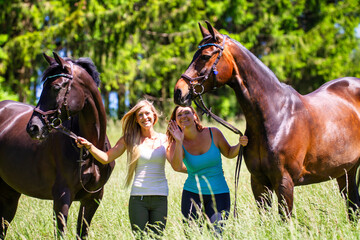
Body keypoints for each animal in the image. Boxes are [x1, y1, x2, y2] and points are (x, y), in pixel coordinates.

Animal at [0, 52, 114, 238]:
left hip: (9, 193)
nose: (33, 128)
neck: (90, 149)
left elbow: (82, 232)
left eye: (56, 87)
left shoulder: (92, 199)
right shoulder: (61, 198)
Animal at [174, 21, 360, 220]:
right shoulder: (259, 183)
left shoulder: (284, 182)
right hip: (346, 171)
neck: (276, 116)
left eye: (205, 56)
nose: (179, 92)